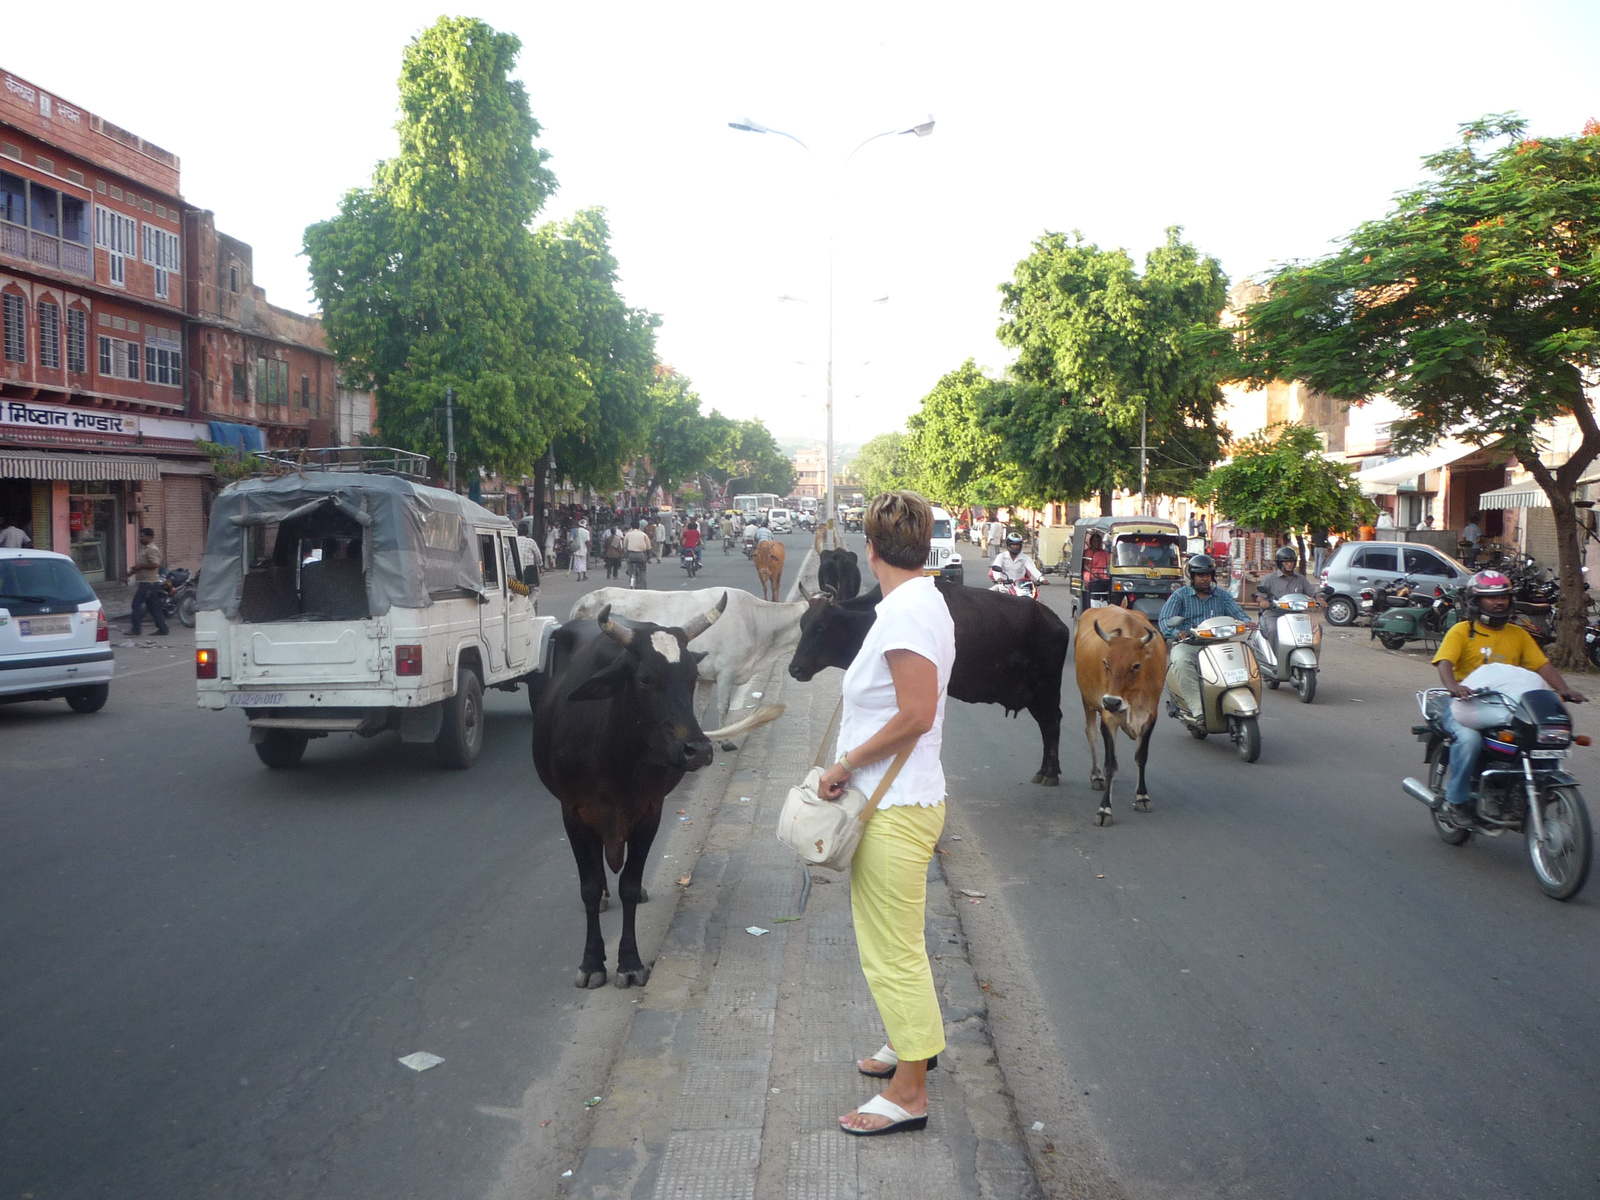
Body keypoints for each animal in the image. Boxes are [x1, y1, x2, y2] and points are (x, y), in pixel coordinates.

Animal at [531, 598, 726, 992]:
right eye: (644, 679)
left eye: (692, 677)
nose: (697, 750)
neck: (614, 755)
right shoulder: (572, 813)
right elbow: (589, 887)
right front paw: (592, 962)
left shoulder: (649, 813)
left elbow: (631, 887)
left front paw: (630, 962)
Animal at [569, 588, 806, 729]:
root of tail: (582, 601)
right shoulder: (726, 671)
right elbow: (724, 705)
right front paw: (726, 739)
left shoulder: (706, 677)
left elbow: (701, 706)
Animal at [790, 582, 1068, 790]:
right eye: (802, 624)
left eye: (821, 626)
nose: (794, 669)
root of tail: (1056, 621)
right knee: (1047, 724)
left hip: (1045, 688)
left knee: (1052, 723)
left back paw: (1050, 773)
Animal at [1075, 611, 1164, 825]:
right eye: (1106, 663)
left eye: (1136, 666)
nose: (1112, 702)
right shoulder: (1108, 717)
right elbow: (1109, 764)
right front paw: (1104, 809)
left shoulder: (1151, 716)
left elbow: (1141, 756)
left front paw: (1142, 796)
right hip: (1087, 700)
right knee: (1091, 733)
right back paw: (1097, 776)